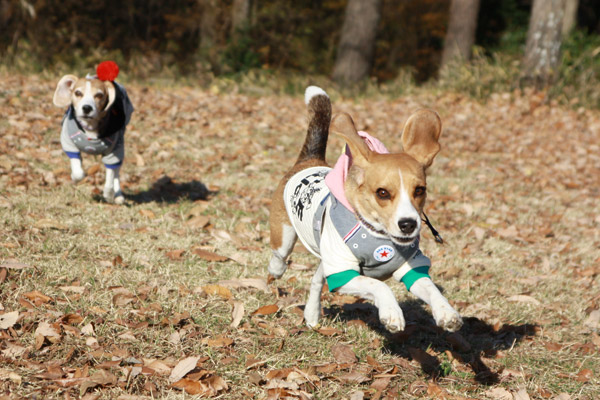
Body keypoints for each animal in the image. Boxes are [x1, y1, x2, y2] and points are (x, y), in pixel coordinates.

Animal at [52, 61, 134, 205]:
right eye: (78, 93)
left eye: (99, 95)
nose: (87, 108)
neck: (90, 128)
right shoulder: (69, 143)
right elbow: (78, 171)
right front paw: (75, 176)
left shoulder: (113, 152)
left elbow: (110, 177)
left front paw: (109, 195)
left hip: (120, 148)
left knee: (116, 173)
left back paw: (118, 195)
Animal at [268, 86, 464, 332]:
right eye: (382, 193)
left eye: (420, 190)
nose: (408, 224)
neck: (377, 235)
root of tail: (310, 160)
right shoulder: (345, 275)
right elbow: (379, 286)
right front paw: (391, 312)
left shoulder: (410, 268)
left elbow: (431, 288)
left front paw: (447, 312)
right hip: (286, 236)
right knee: (280, 255)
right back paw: (276, 270)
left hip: (328, 255)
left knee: (316, 280)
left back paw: (312, 314)